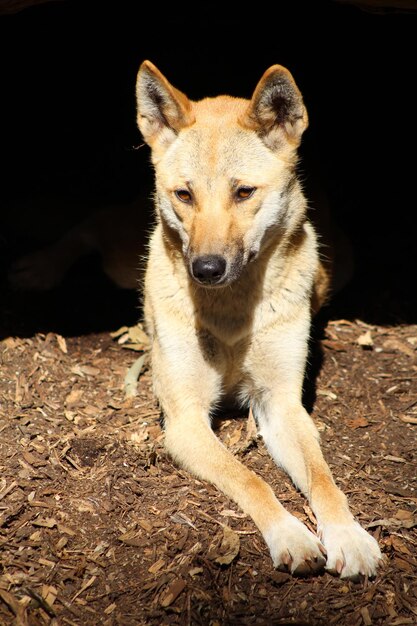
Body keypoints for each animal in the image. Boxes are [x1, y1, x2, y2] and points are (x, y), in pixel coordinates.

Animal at [135, 61, 382, 576]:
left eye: (244, 192)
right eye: (184, 194)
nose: (206, 269)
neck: (231, 311)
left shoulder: (282, 404)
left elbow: (323, 480)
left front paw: (348, 536)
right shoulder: (185, 419)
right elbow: (251, 480)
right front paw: (290, 533)